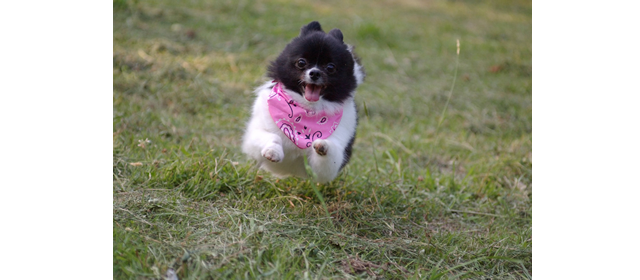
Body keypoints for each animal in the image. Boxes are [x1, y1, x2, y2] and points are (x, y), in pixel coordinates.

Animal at [242, 22, 364, 184]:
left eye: (330, 67)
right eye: (301, 62)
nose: (315, 73)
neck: (306, 108)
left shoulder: (327, 168)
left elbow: (329, 155)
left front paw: (323, 145)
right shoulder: (254, 137)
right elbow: (272, 137)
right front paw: (273, 151)